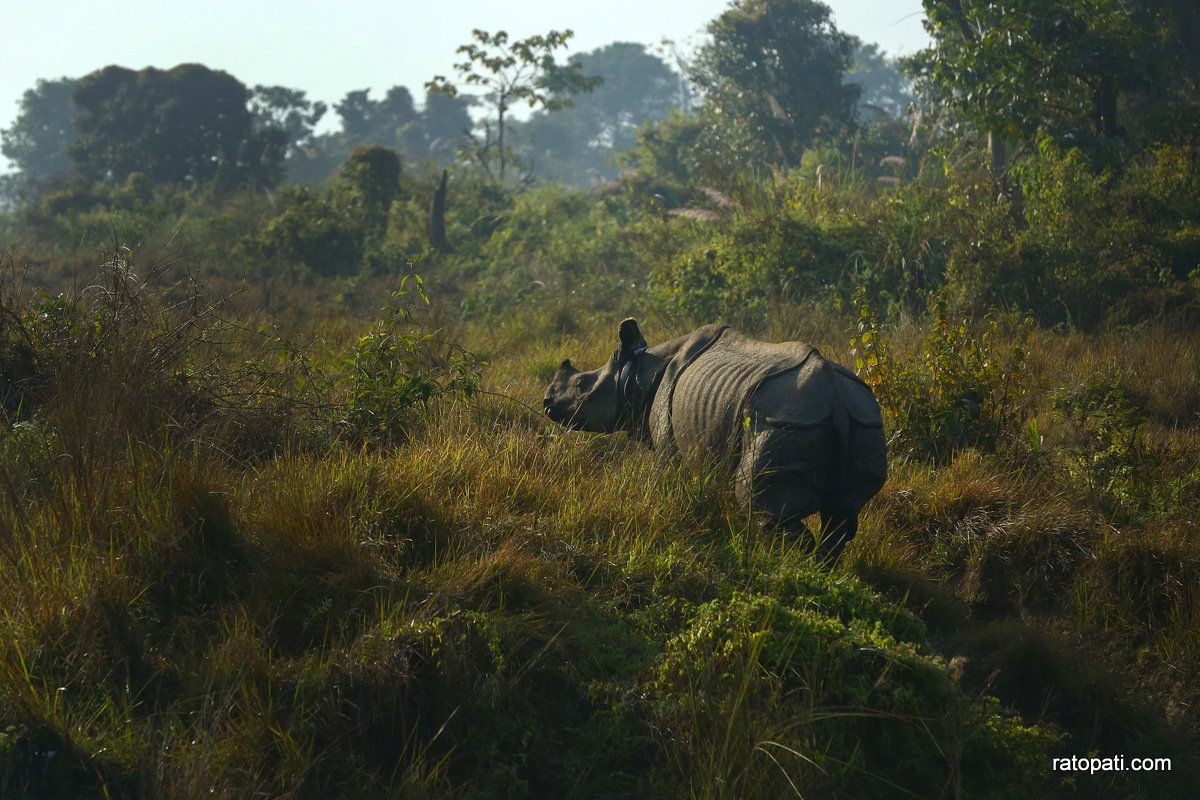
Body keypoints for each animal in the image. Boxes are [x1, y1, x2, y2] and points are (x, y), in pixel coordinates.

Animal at [547, 319, 892, 563]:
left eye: (581, 385)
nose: (547, 402)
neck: (638, 374)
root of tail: (837, 403)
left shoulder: (668, 444)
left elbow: (665, 479)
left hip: (788, 421)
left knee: (768, 514)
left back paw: (788, 564)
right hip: (866, 420)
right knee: (842, 519)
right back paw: (819, 569)